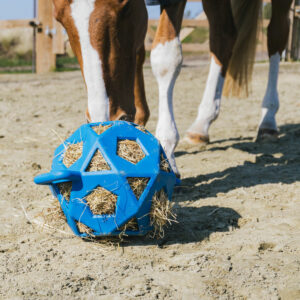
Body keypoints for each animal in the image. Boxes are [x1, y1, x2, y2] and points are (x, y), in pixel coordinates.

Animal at [52, 0, 292, 176]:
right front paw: (139, 124)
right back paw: (201, 126)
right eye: (59, 19)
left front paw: (166, 151)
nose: (104, 121)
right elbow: (139, 51)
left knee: (276, 34)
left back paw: (268, 120)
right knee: (224, 36)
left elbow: (165, 57)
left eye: (126, 7)